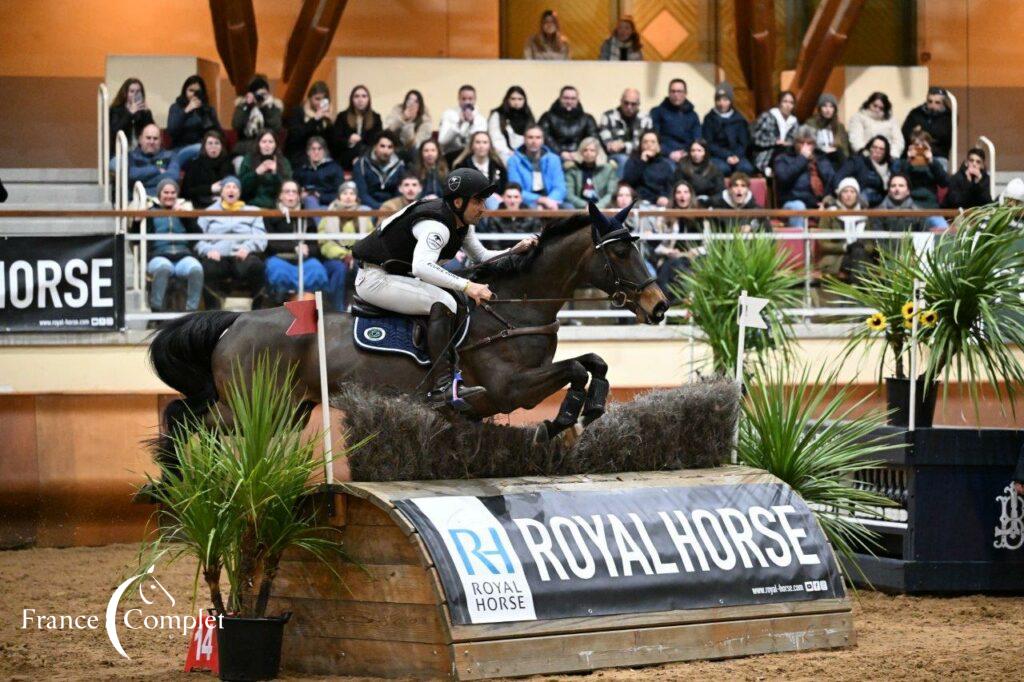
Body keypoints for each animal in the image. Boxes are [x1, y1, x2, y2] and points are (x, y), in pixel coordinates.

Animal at [148, 202, 667, 466]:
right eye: (620, 252)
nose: (659, 305)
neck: (512, 309)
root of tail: (236, 322)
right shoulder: (508, 389)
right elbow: (576, 368)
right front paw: (563, 418)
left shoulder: (499, 394)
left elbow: (594, 362)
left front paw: (591, 407)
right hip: (251, 404)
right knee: (183, 418)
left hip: (283, 410)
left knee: (190, 416)